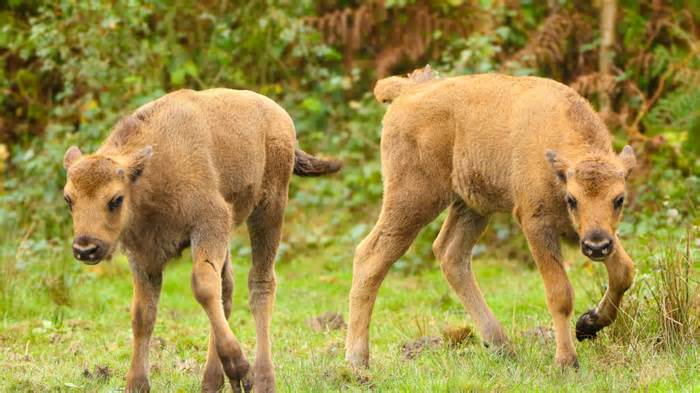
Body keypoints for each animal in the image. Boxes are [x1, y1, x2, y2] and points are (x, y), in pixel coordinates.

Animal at [61, 87, 340, 390]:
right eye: (68, 199)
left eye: (115, 199)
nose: (85, 248)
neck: (150, 173)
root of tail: (279, 114)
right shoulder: (144, 255)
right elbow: (143, 314)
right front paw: (136, 384)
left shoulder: (210, 223)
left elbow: (203, 286)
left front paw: (241, 369)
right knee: (227, 290)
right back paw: (212, 381)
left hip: (270, 207)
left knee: (260, 283)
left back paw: (262, 379)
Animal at [348, 70, 636, 368]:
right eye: (572, 199)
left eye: (619, 199)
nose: (596, 246)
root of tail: (408, 90)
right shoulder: (535, 223)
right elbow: (560, 293)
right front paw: (566, 361)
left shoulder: (599, 233)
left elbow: (623, 271)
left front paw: (589, 324)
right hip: (413, 200)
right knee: (371, 256)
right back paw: (357, 359)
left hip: (471, 207)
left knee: (451, 254)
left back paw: (501, 345)